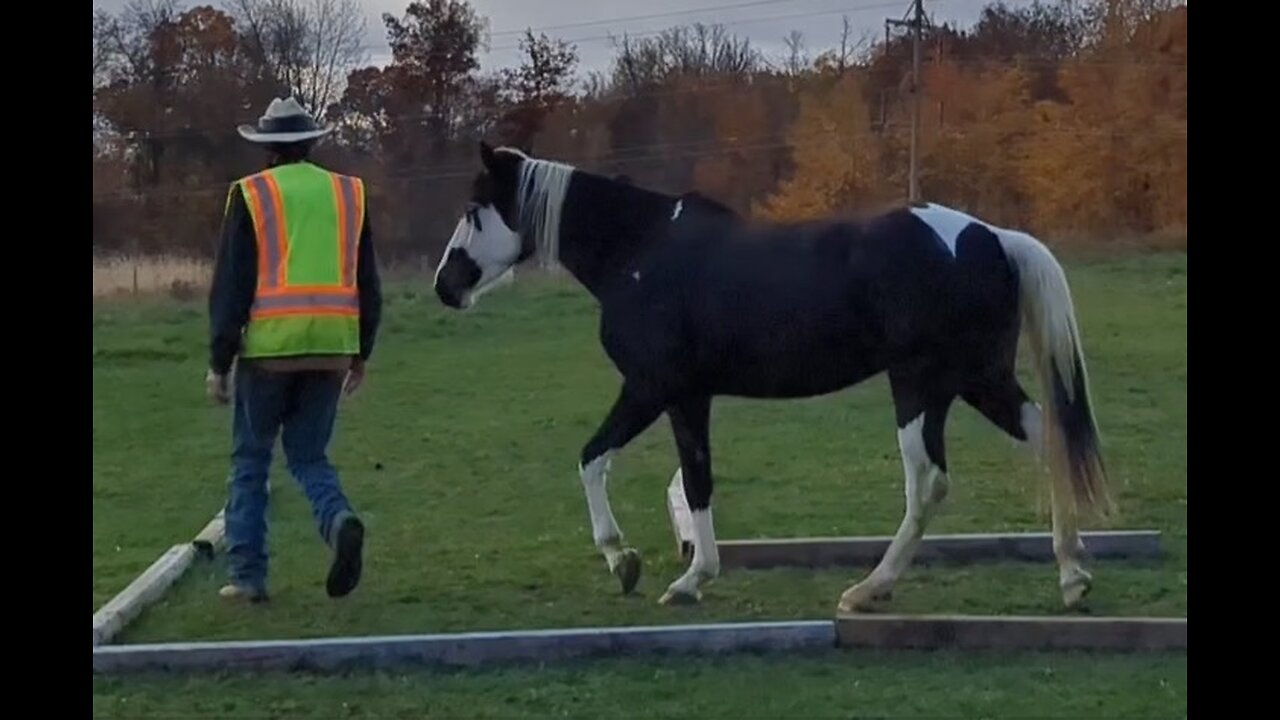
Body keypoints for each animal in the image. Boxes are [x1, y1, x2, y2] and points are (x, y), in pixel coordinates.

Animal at [432, 141, 1111, 609]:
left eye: (473, 208)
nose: (445, 285)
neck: (642, 253)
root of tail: (991, 235)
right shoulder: (685, 395)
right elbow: (679, 475)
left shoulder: (659, 390)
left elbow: (619, 465)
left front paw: (656, 570)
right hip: (977, 382)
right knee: (1049, 438)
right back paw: (1072, 574)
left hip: (920, 387)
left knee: (927, 484)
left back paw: (869, 589)